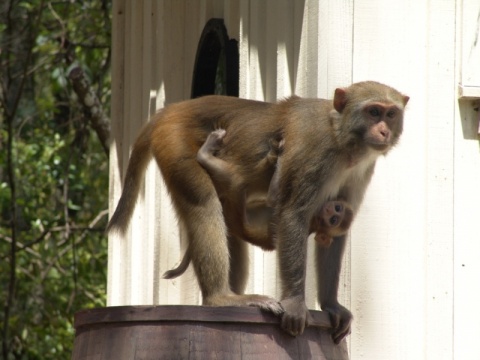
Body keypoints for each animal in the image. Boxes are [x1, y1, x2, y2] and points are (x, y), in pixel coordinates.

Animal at [107, 81, 406, 344]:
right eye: (373, 112)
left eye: (391, 114)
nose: (384, 131)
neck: (341, 138)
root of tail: (170, 111)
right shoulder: (315, 154)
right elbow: (292, 214)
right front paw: (296, 304)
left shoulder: (359, 171)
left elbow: (335, 234)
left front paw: (331, 305)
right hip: (175, 141)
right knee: (205, 205)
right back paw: (220, 298)